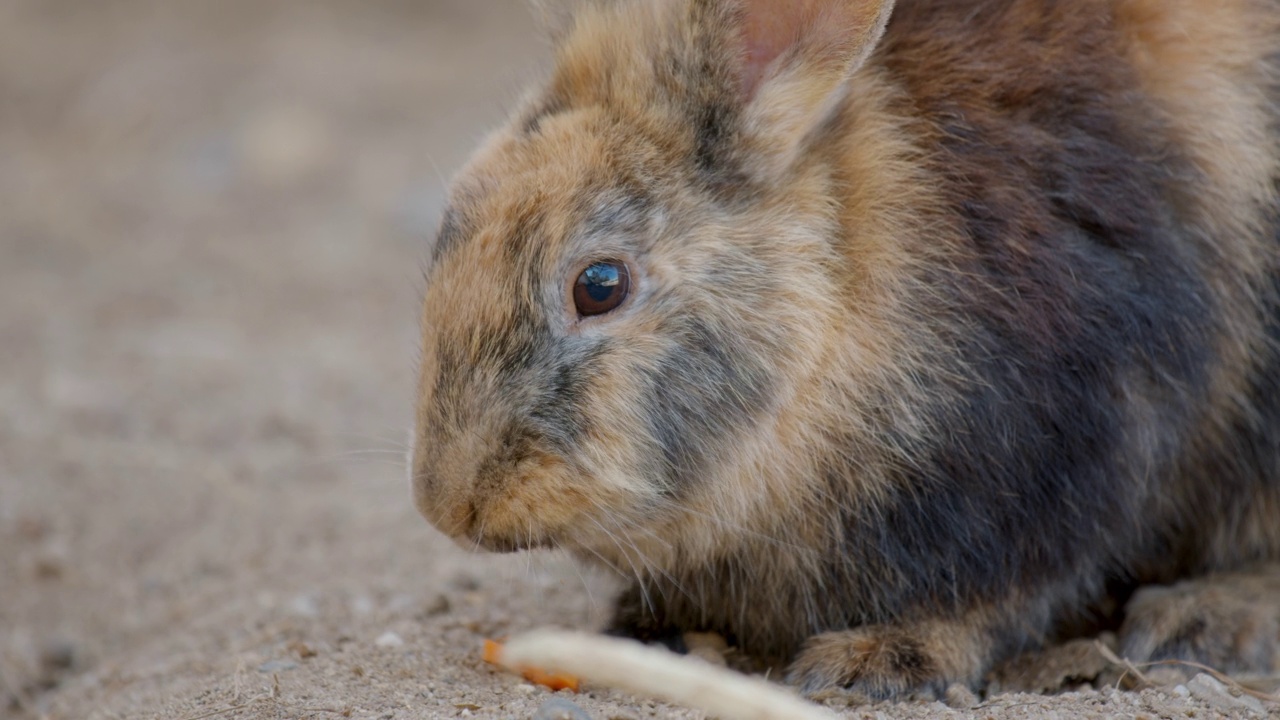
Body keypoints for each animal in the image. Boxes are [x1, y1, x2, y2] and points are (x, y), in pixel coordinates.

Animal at [409, 0, 1280, 696]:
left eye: (599, 285)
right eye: (449, 226)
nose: (450, 506)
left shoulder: (1076, 455)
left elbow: (1002, 595)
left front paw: (876, 662)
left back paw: (1199, 619)